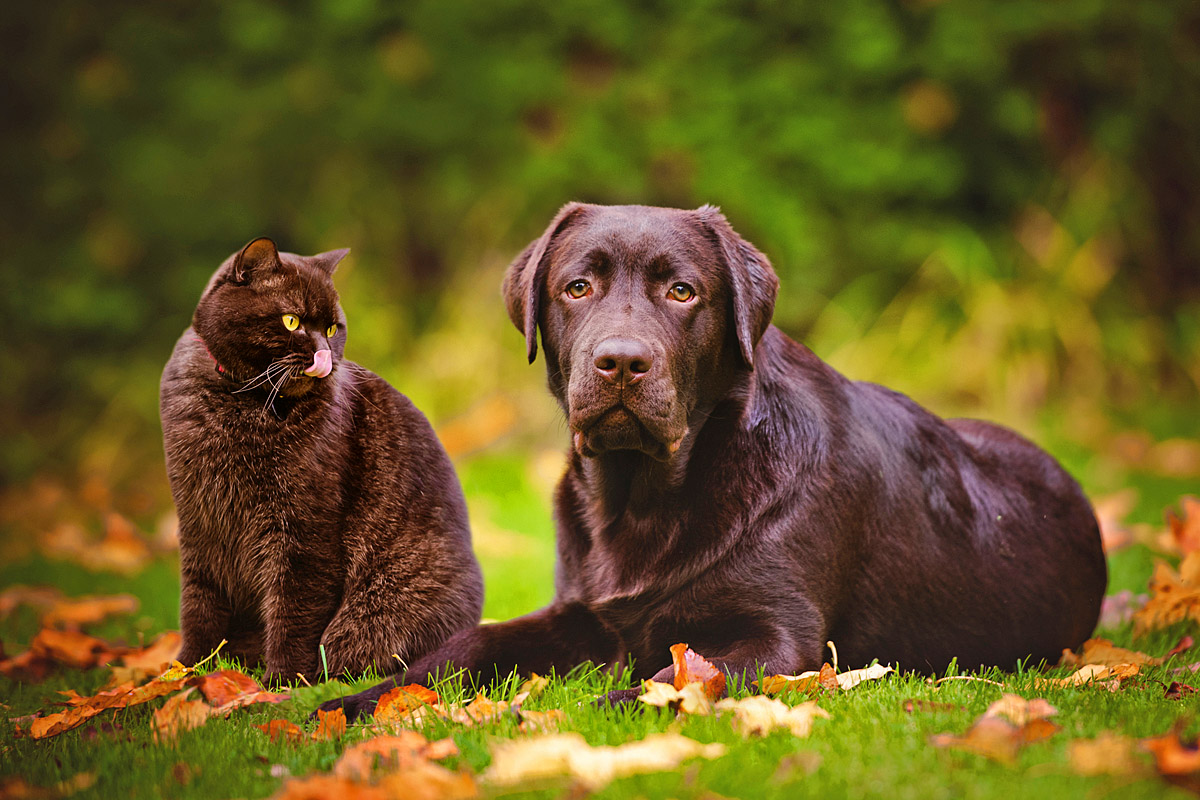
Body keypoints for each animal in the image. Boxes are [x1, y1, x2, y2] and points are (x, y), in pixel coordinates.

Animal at [159, 236, 482, 681]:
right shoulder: (198, 525)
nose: (324, 352)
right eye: (291, 321)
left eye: (332, 328)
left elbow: (294, 614)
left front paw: (280, 684)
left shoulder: (303, 534)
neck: (239, 402)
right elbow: (198, 607)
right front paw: (186, 672)